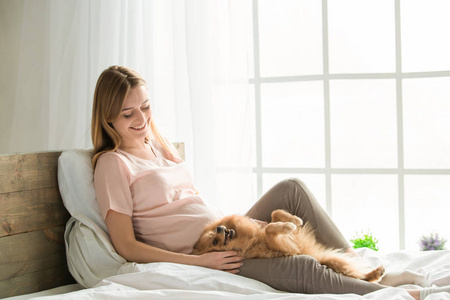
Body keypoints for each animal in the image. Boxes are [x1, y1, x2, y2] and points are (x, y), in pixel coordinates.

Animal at [192, 209, 384, 282]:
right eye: (214, 242)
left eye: (215, 232)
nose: (219, 228)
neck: (251, 238)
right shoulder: (284, 247)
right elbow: (271, 229)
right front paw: (287, 226)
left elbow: (274, 214)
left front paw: (294, 220)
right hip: (334, 262)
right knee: (359, 276)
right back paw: (375, 274)